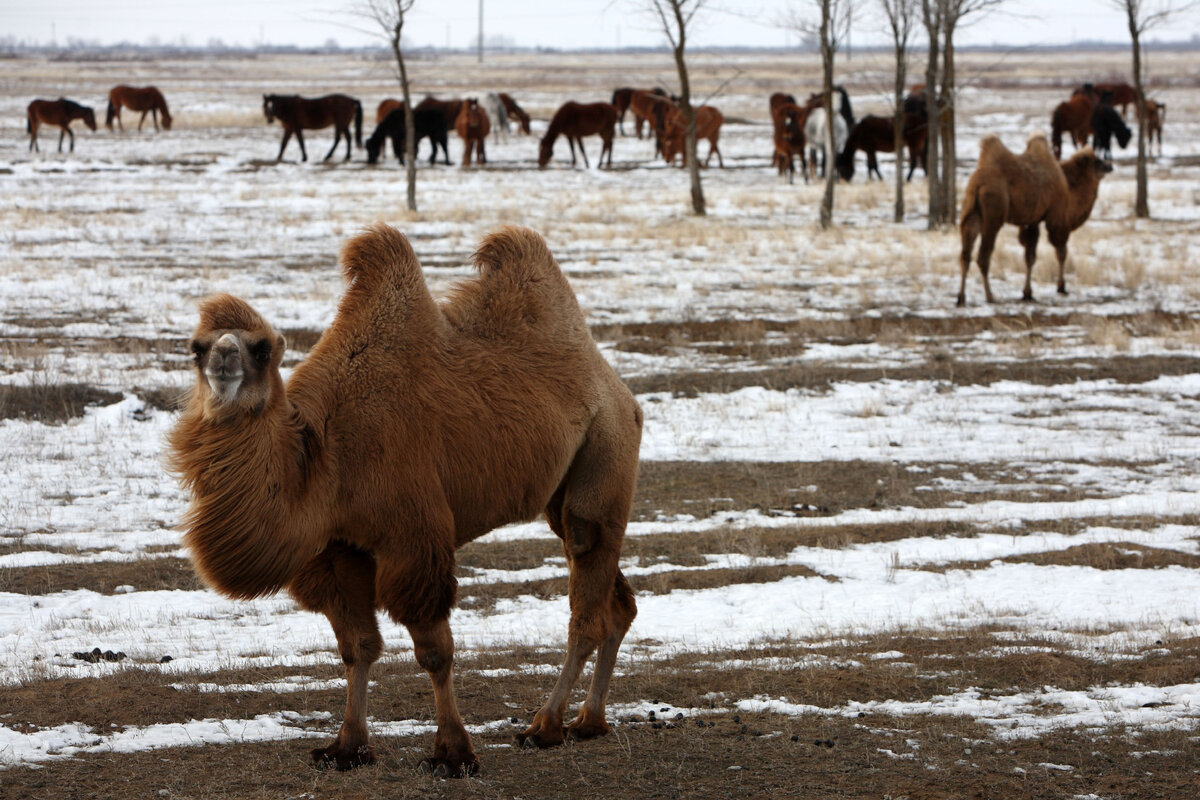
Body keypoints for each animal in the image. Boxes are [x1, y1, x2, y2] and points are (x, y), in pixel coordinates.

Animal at [166, 224, 648, 777]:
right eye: (196, 347)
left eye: (262, 349)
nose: (223, 359)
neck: (327, 453)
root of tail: (616, 387)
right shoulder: (337, 547)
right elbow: (357, 647)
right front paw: (347, 748)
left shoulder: (412, 533)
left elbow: (434, 651)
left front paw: (454, 753)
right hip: (560, 491)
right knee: (618, 601)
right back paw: (589, 721)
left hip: (606, 450)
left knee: (586, 598)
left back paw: (544, 726)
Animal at [960, 131, 1108, 307]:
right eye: (1096, 161)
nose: (1110, 166)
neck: (1068, 187)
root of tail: (977, 185)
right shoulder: (1056, 218)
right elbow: (1061, 251)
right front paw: (1061, 287)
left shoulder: (1032, 221)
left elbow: (1029, 257)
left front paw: (1027, 293)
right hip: (993, 216)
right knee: (983, 257)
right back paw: (990, 297)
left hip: (970, 214)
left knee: (965, 254)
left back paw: (960, 297)